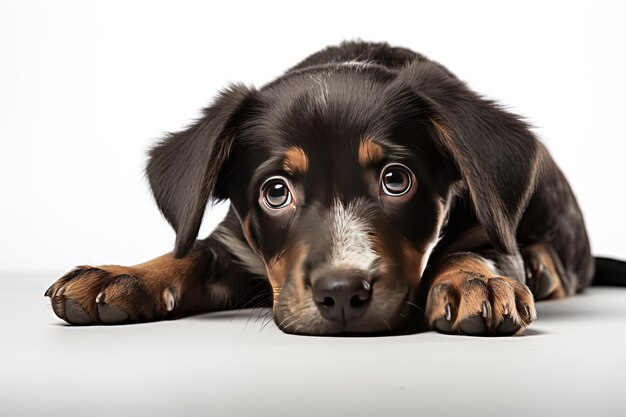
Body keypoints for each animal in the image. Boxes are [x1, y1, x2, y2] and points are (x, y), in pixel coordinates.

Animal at [45, 41, 624, 334]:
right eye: (275, 192)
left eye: (396, 180)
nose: (343, 294)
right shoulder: (234, 242)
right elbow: (187, 256)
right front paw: (118, 277)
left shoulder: (484, 217)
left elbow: (480, 250)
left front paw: (475, 281)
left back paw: (545, 268)